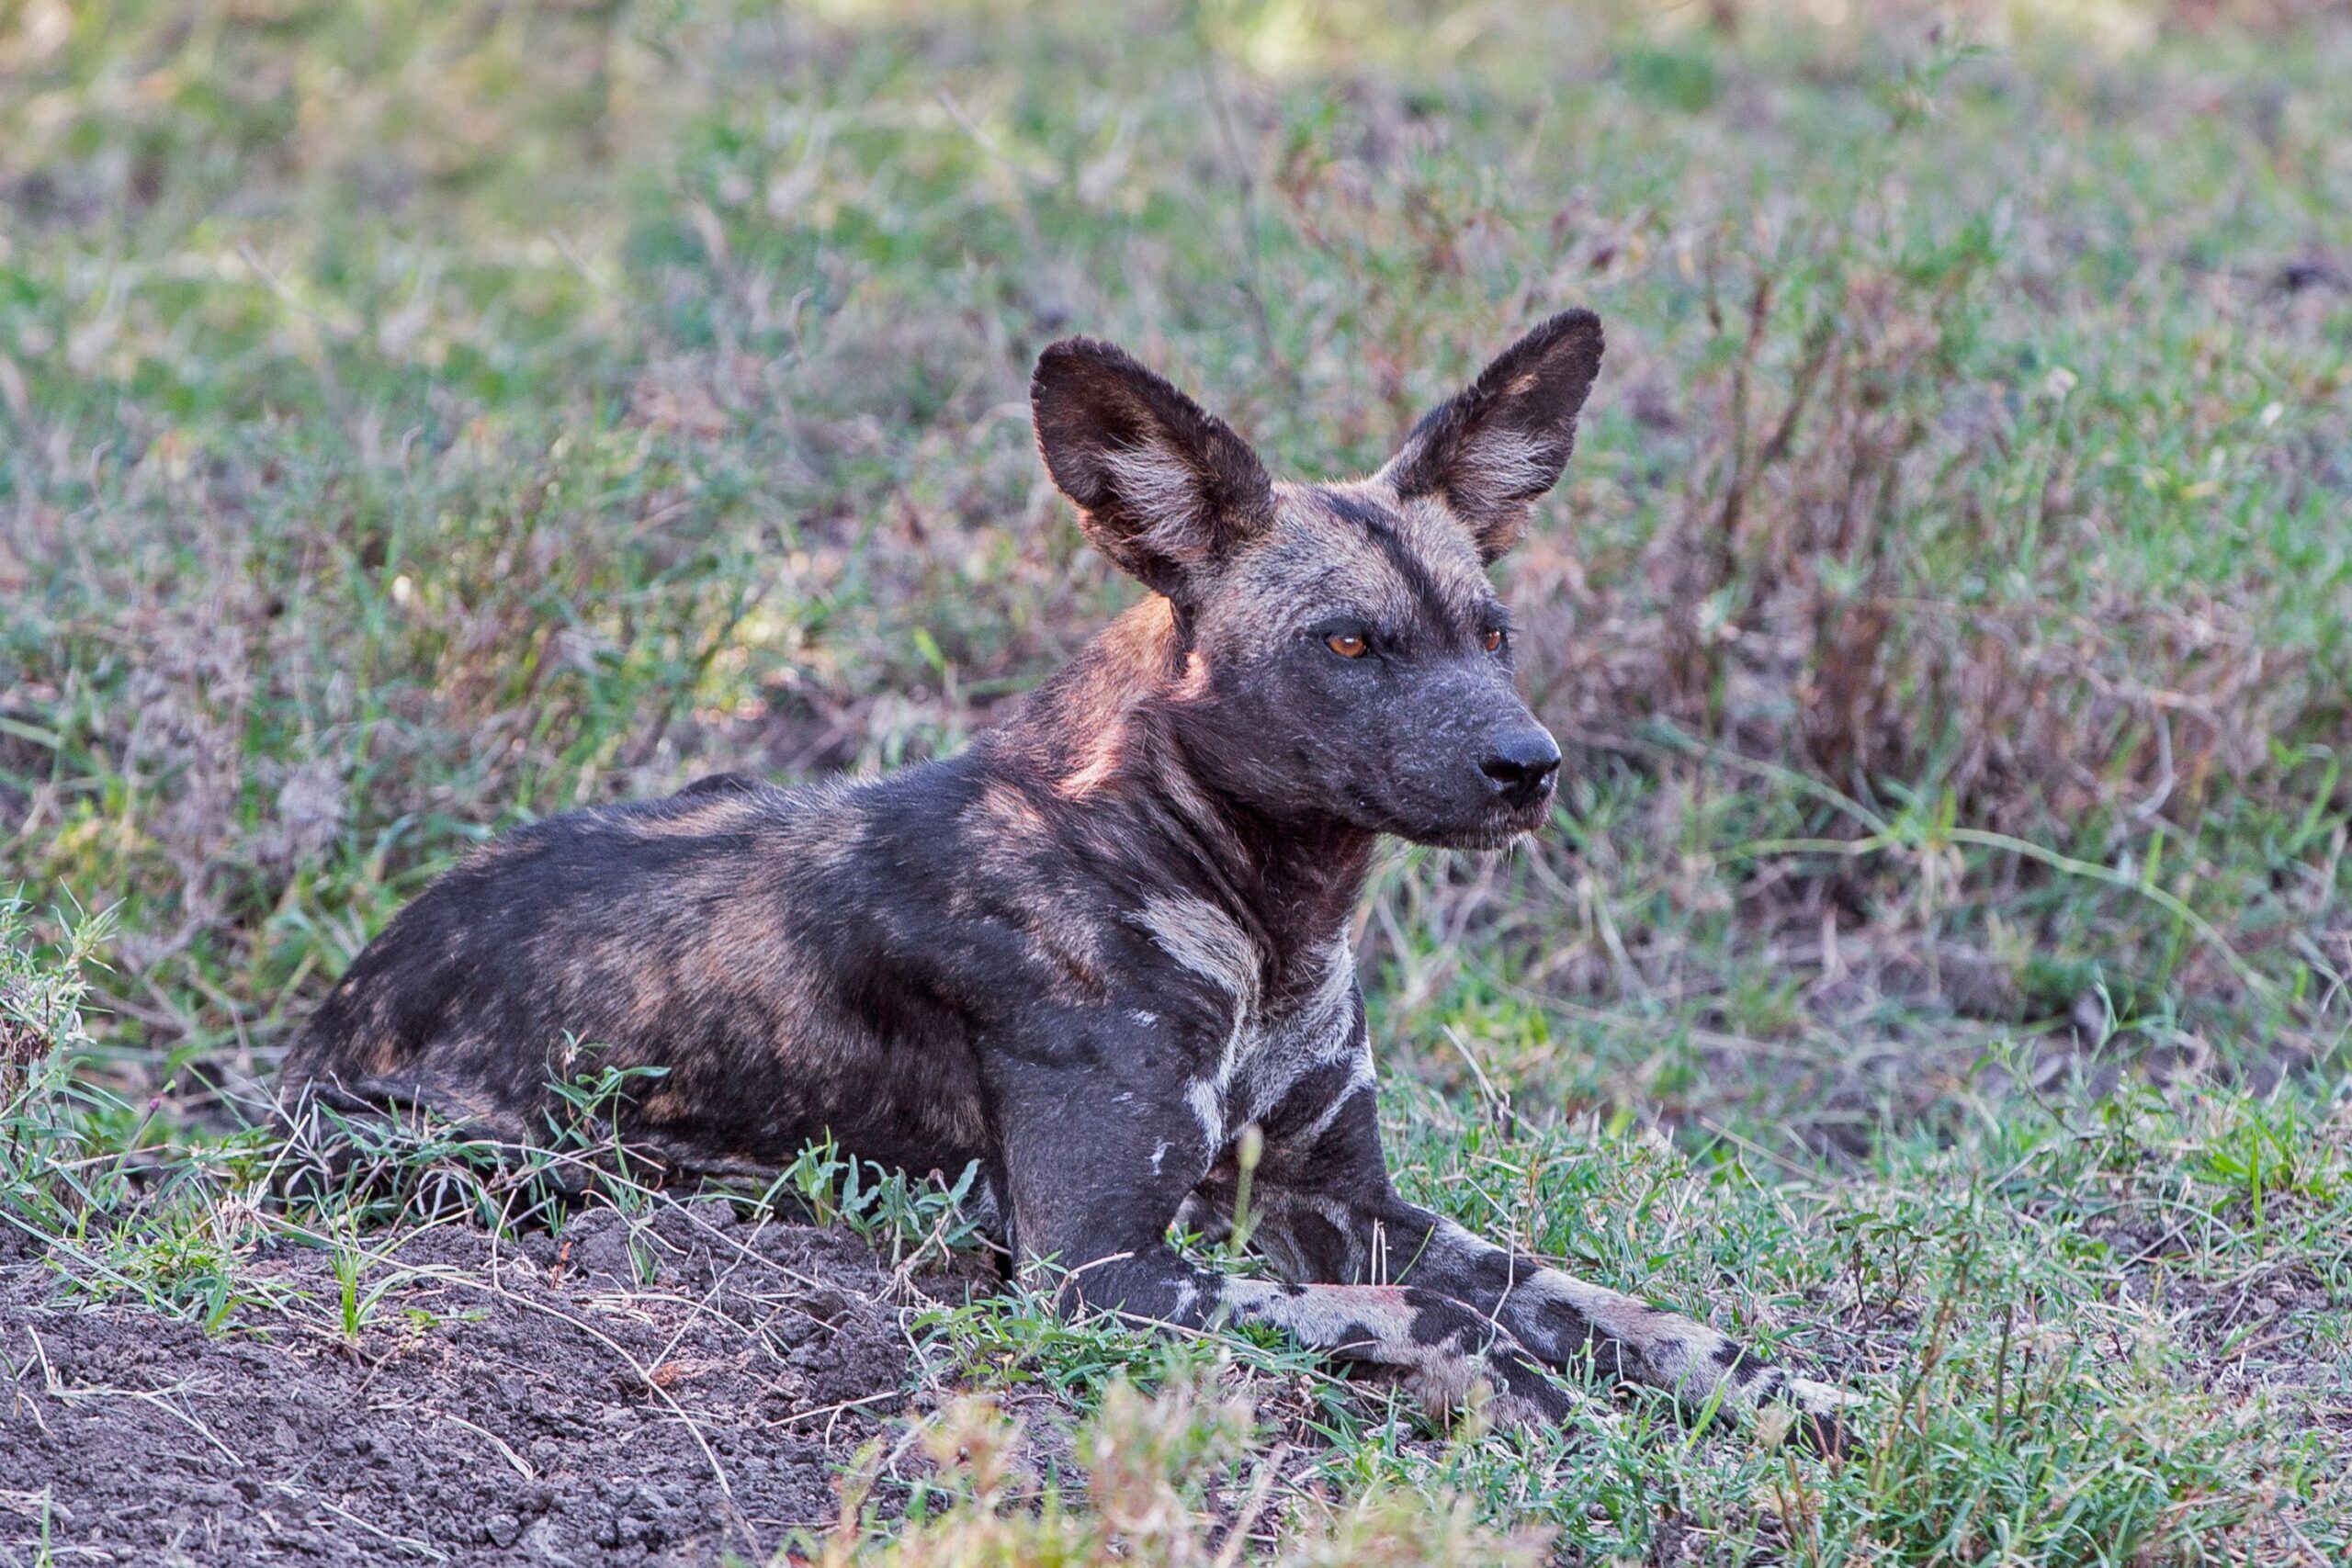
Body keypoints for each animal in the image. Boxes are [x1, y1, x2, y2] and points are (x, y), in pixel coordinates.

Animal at [288, 312, 1853, 1457]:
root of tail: (352, 984)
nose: (1528, 765)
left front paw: (1796, 1396)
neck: (1269, 922)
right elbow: (1428, 1312)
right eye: (1351, 644)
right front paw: (1532, 1396)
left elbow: (1620, 1306)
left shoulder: (1350, 1200)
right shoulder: (1097, 1266)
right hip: (480, 1161)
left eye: (1493, 630)